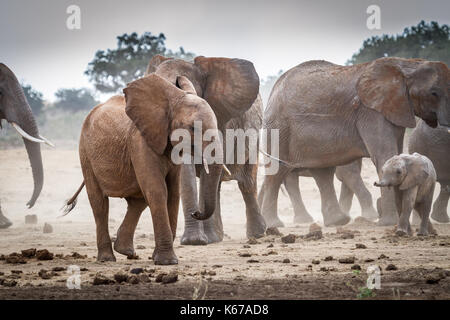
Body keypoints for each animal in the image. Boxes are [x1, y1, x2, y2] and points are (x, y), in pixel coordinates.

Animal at [64, 75, 220, 264]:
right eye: (192, 128)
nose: (195, 212)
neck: (171, 101)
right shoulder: (140, 141)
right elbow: (158, 191)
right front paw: (167, 262)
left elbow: (173, 193)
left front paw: (158, 258)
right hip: (85, 152)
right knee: (99, 202)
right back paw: (107, 258)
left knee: (138, 201)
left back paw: (126, 251)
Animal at [260, 57, 450, 228]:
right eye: (434, 93)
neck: (406, 64)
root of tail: (273, 90)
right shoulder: (371, 112)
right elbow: (384, 156)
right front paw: (388, 223)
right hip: (279, 129)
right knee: (278, 172)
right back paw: (275, 224)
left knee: (322, 171)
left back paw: (338, 221)